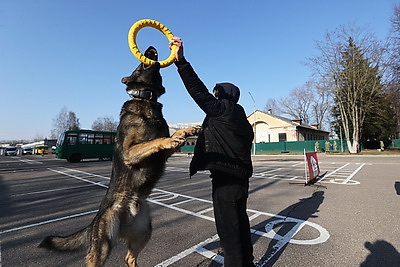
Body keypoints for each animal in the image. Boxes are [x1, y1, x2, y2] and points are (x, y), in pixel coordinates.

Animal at [39, 47, 202, 266]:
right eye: (140, 65)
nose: (151, 48)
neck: (145, 98)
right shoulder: (130, 152)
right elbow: (155, 141)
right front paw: (171, 139)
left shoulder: (162, 154)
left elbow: (172, 135)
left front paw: (189, 130)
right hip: (102, 246)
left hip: (144, 232)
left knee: (128, 258)